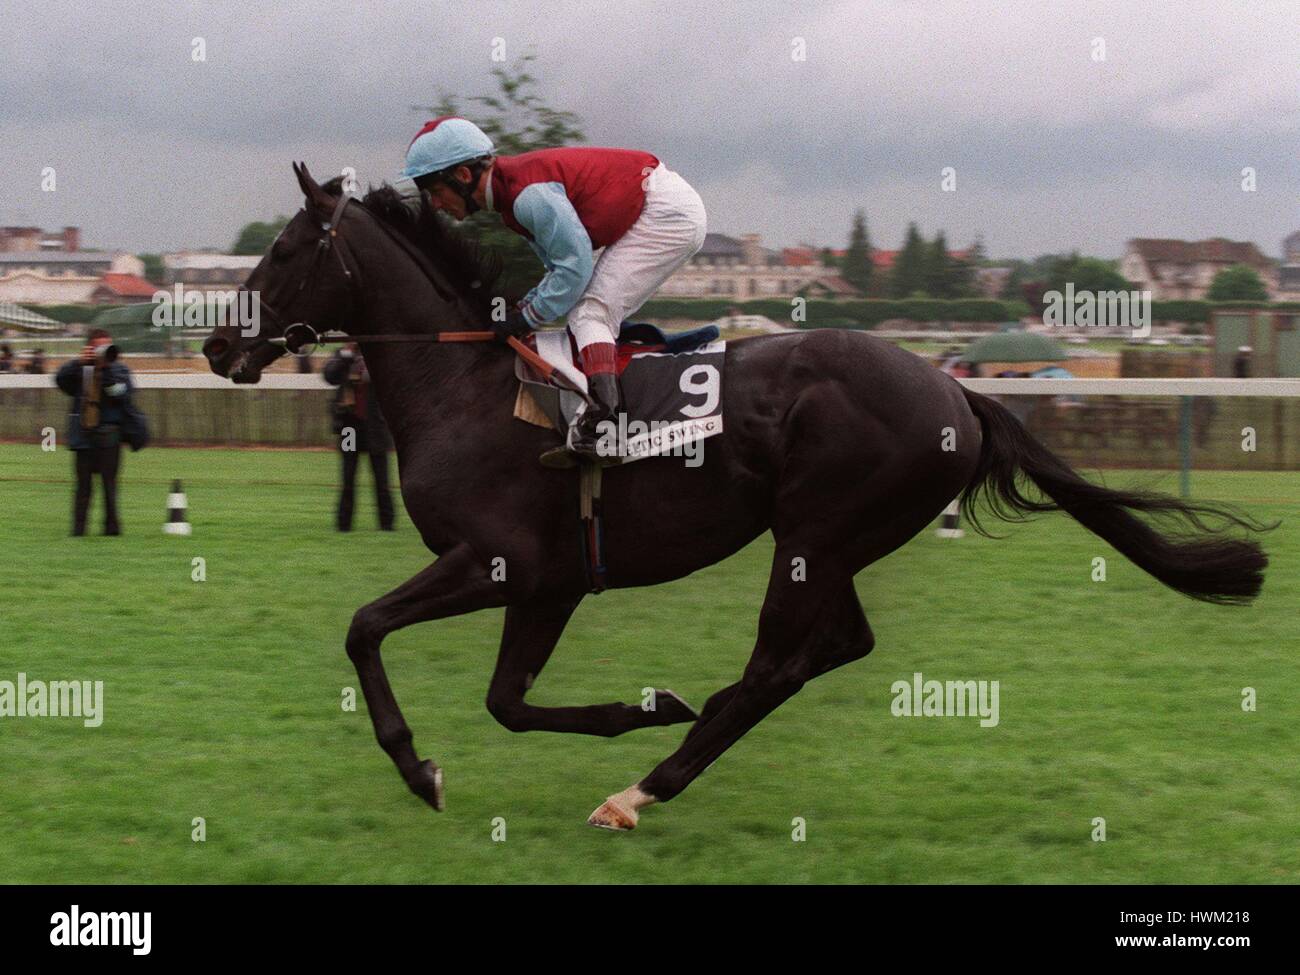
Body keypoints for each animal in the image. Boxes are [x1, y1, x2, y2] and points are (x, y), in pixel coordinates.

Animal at [202, 166, 1268, 832]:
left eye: (286, 249)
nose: (216, 343)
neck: (466, 387)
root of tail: (954, 386)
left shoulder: (502, 563)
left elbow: (368, 628)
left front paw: (419, 765)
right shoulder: (550, 582)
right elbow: (506, 700)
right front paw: (635, 705)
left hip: (814, 533)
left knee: (774, 665)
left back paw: (644, 784)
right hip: (829, 541)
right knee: (832, 648)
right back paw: (679, 737)